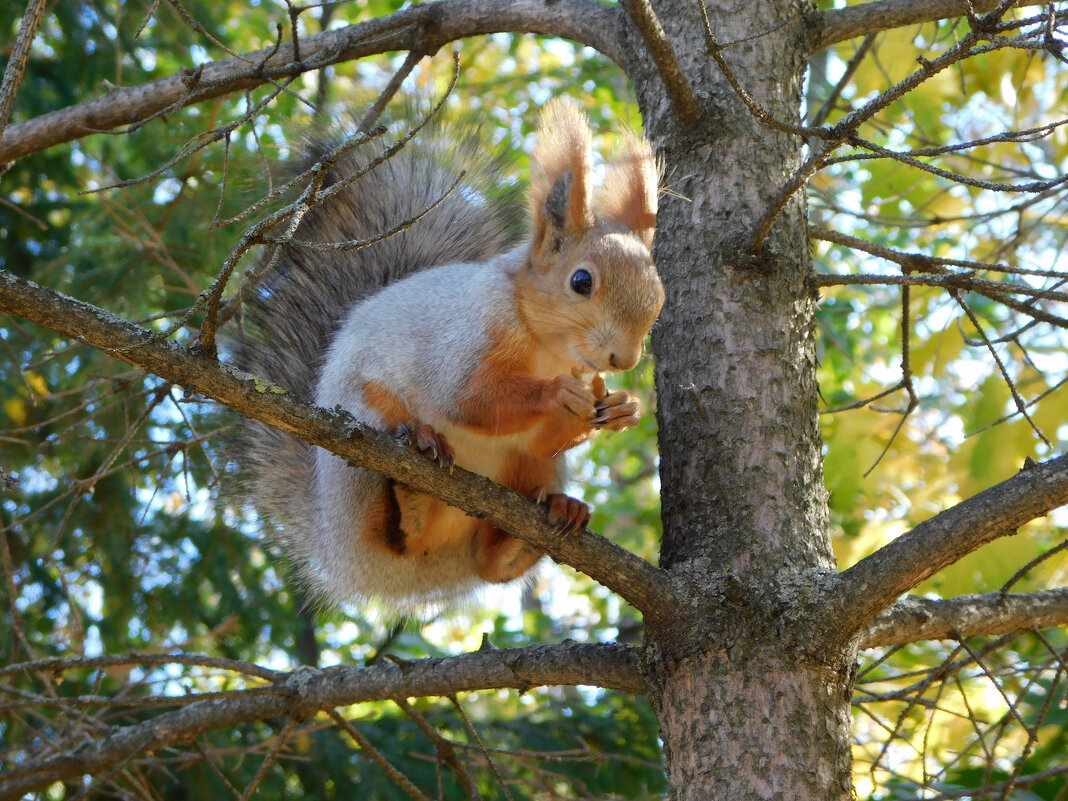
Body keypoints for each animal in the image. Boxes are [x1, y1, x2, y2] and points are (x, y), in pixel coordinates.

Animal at [238, 97, 662, 619]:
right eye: (581, 282)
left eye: (657, 292)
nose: (624, 359)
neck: (548, 349)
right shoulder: (466, 336)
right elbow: (467, 400)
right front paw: (557, 394)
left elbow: (542, 438)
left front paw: (623, 408)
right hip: (360, 446)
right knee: (391, 528)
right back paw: (417, 488)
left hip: (529, 475)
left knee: (489, 562)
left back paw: (544, 525)